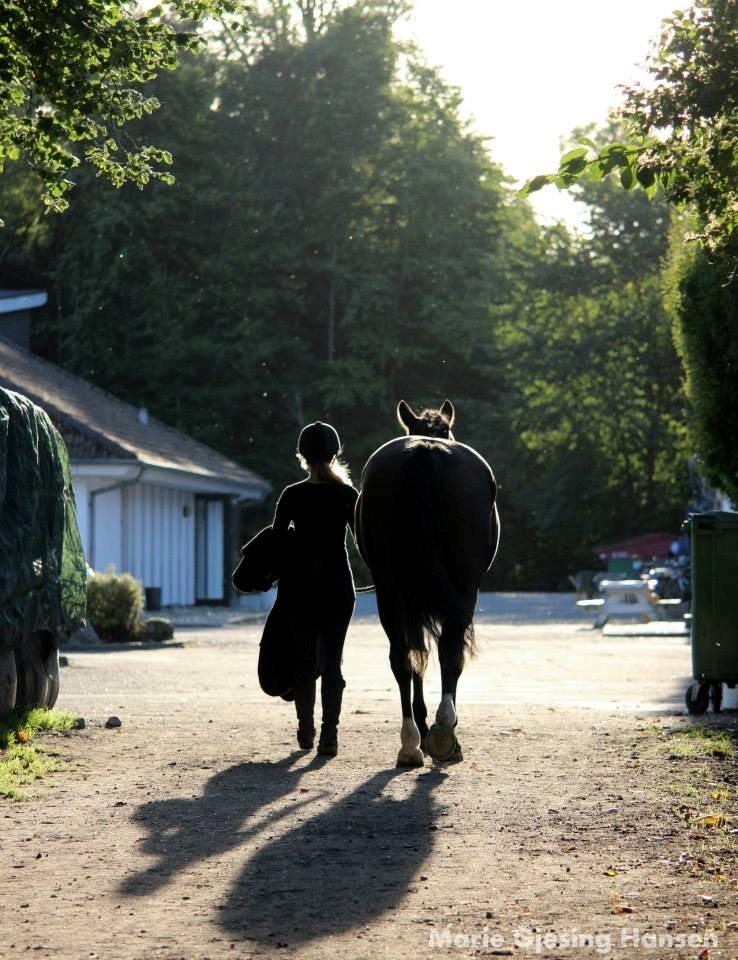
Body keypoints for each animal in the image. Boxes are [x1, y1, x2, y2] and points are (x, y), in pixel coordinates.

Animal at [354, 402, 498, 768]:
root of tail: (423, 453)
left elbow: (416, 654)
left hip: (390, 589)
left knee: (402, 657)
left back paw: (410, 743)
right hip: (463, 587)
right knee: (450, 652)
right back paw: (444, 732)